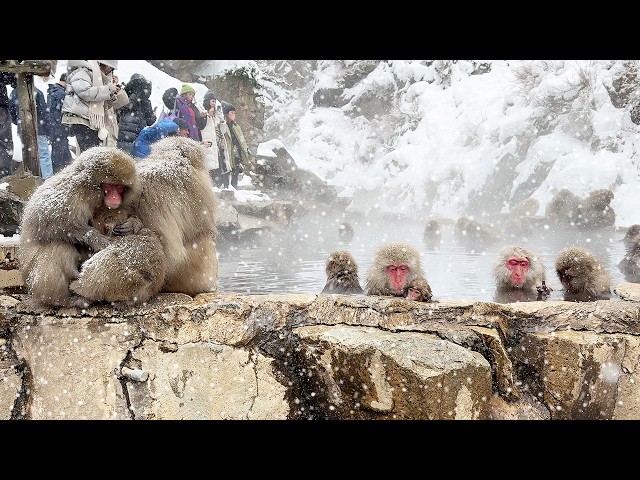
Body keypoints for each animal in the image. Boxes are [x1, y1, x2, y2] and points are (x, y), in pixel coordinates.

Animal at [18, 147, 141, 308]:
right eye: (109, 186)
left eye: (119, 187)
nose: (115, 197)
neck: (87, 192)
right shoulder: (68, 193)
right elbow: (46, 219)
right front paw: (94, 238)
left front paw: (133, 223)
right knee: (59, 247)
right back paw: (63, 300)